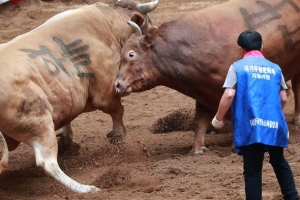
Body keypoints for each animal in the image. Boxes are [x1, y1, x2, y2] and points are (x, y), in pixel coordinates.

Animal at [0, 0, 159, 194]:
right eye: (149, 25)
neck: (110, 26)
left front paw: (67, 139)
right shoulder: (106, 91)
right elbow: (117, 111)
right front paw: (118, 136)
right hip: (39, 124)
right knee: (47, 163)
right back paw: (85, 189)